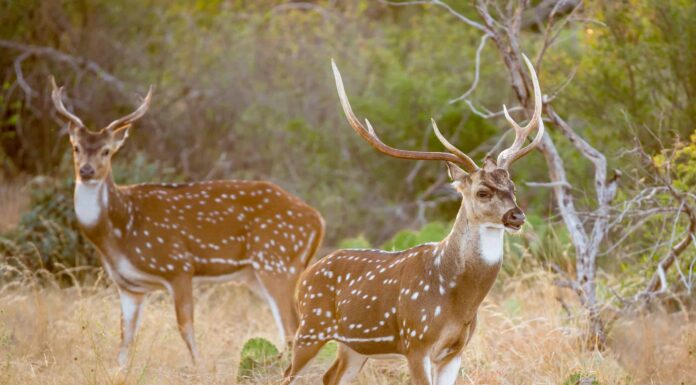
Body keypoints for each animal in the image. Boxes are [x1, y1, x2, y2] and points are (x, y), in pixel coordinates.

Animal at [49, 78, 326, 366]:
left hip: (278, 262)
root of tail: (318, 220)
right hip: (257, 274)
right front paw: (120, 370)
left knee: (294, 328)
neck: (120, 231)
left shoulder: (178, 265)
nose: (86, 170)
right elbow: (125, 338)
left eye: (106, 151)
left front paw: (199, 367)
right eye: (76, 147)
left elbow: (186, 327)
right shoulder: (129, 286)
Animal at [282, 54, 544, 384]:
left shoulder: (456, 350)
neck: (458, 301)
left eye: (513, 187)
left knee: (331, 376)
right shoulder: (417, 341)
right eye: (482, 192)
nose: (516, 215)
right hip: (311, 326)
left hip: (353, 346)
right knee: (286, 374)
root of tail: (304, 276)